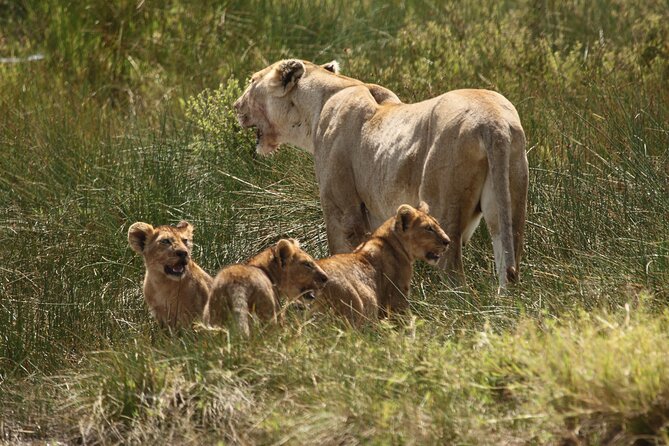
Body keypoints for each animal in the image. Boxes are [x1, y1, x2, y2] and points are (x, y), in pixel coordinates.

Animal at [234, 58, 528, 286]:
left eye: (252, 81)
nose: (236, 106)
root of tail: (492, 123)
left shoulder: (342, 209)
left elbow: (340, 250)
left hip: (443, 209)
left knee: (453, 272)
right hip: (509, 201)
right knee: (509, 262)